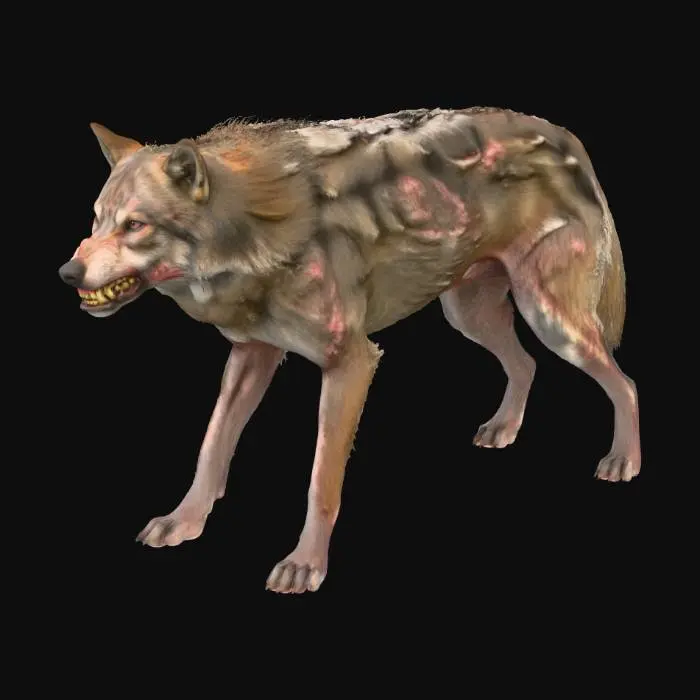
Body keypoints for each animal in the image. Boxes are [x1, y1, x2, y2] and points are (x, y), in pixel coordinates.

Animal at [59, 107, 640, 594]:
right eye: (96, 219)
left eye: (135, 225)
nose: (68, 273)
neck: (255, 228)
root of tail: (562, 133)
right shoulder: (252, 355)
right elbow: (212, 446)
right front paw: (184, 522)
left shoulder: (352, 363)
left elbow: (321, 482)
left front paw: (304, 565)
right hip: (470, 316)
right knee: (527, 364)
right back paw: (503, 429)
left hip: (551, 320)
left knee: (625, 383)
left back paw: (623, 460)